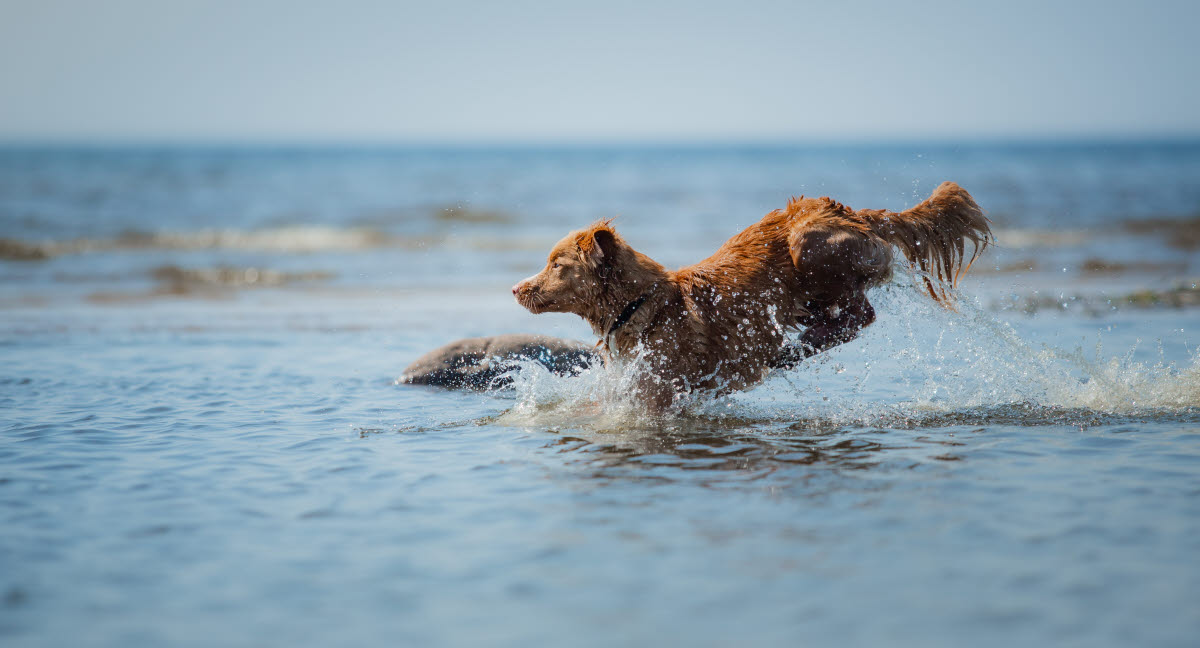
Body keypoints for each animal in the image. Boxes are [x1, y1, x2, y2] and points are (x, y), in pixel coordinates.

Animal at [511, 180, 988, 408]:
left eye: (556, 265)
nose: (517, 288)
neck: (641, 305)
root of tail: (853, 210)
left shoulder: (657, 391)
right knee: (843, 320)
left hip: (807, 245)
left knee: (859, 316)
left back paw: (791, 350)